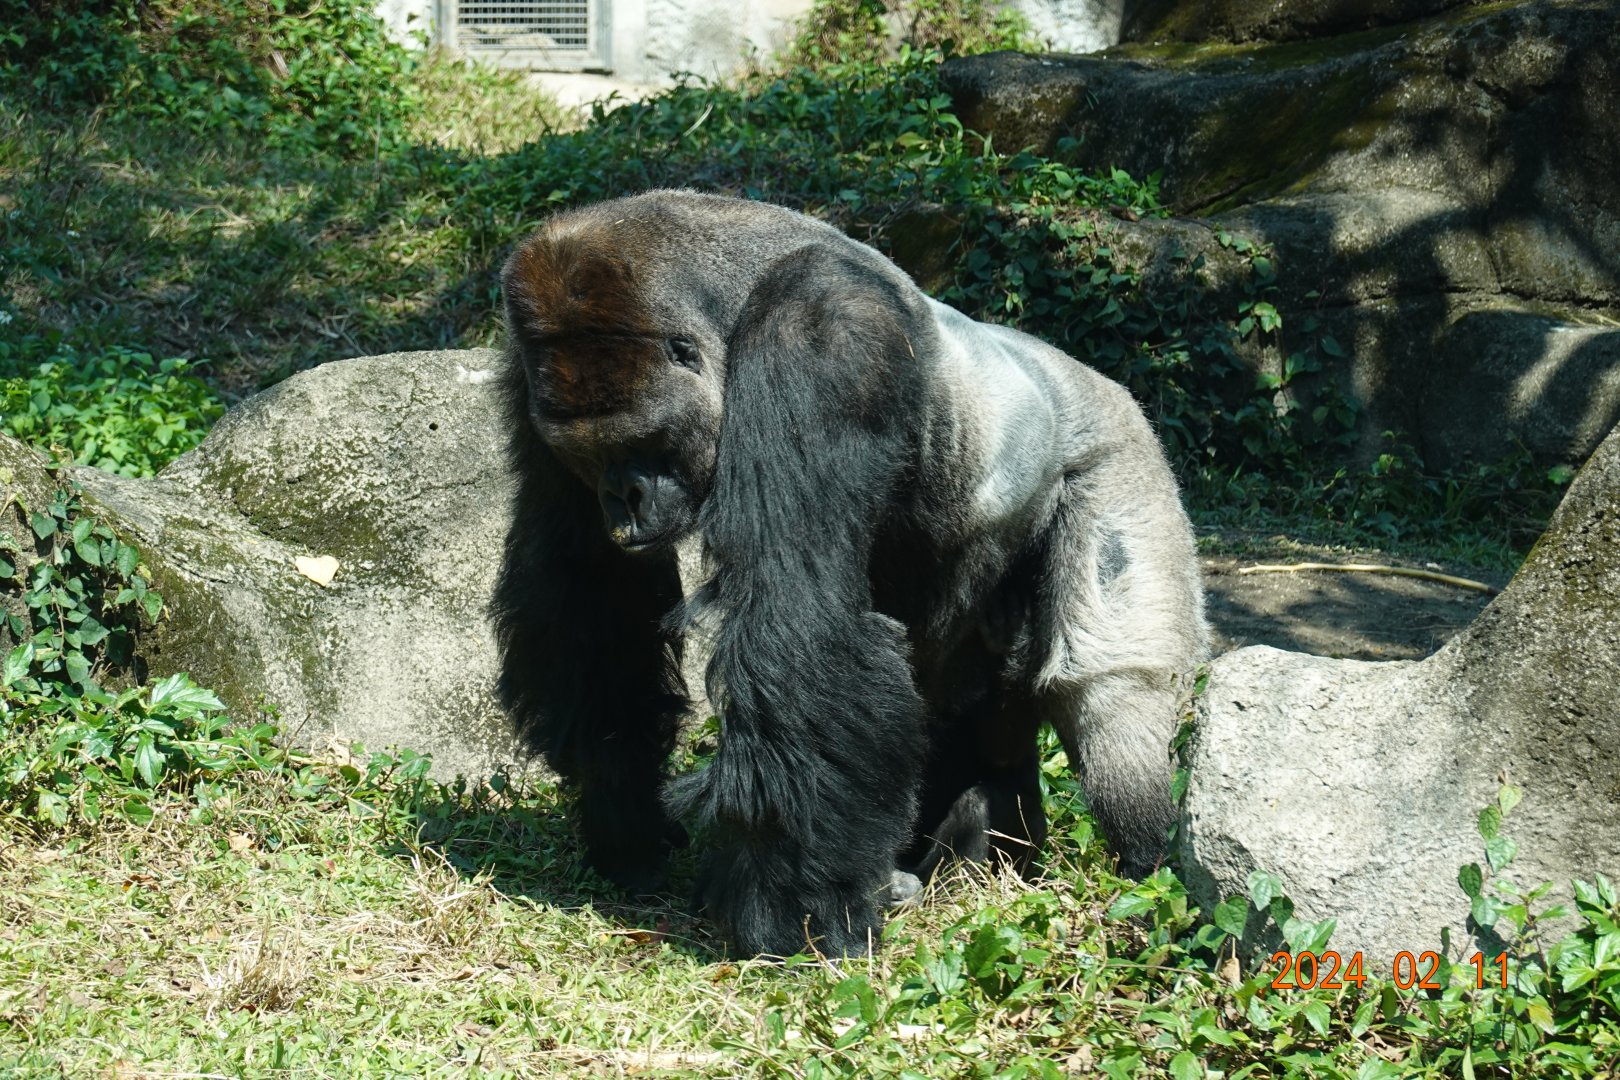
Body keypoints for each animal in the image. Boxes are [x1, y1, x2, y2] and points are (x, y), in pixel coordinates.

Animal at [491, 190, 1208, 957]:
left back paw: (1144, 866)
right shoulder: (527, 377)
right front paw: (624, 814)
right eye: (587, 455)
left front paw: (794, 912)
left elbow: (797, 622)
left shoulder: (822, 335)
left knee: (1109, 692)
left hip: (1123, 454)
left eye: (641, 441)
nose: (621, 503)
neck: (726, 293)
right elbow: (591, 599)